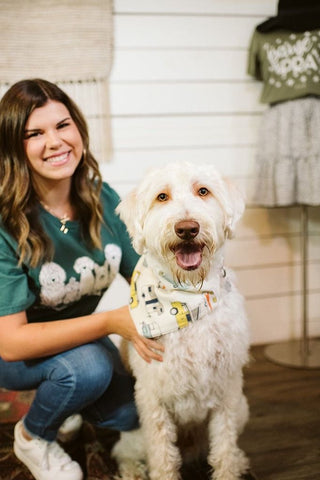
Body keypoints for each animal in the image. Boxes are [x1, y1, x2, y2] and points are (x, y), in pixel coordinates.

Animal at [112, 162, 250, 480]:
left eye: (203, 191)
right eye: (162, 196)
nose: (187, 228)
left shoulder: (227, 393)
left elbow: (224, 448)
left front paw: (229, 468)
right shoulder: (153, 401)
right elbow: (162, 456)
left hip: (241, 408)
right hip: (135, 433)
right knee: (123, 451)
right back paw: (133, 471)